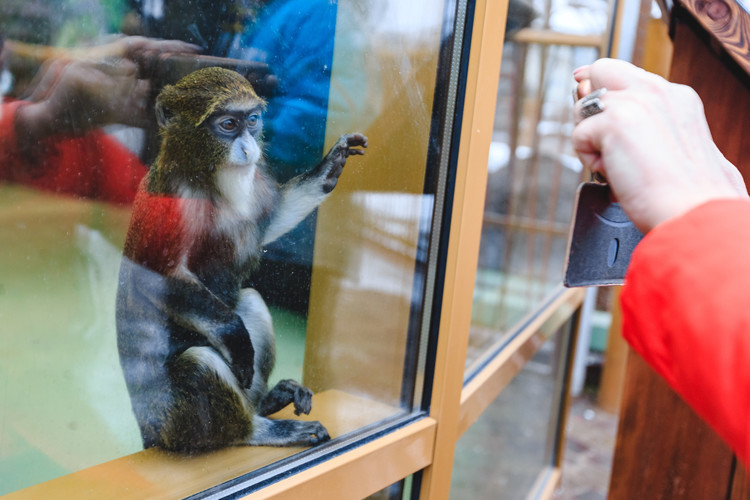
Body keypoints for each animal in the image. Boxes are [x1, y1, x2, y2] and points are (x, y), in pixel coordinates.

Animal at [116, 66, 368, 454]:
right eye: (227, 125)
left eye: (252, 121)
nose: (249, 148)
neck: (205, 175)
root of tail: (151, 435)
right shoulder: (173, 201)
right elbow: (153, 278)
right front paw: (233, 334)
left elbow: (272, 221)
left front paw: (329, 167)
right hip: (174, 423)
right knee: (200, 362)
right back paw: (257, 430)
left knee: (250, 301)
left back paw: (265, 402)